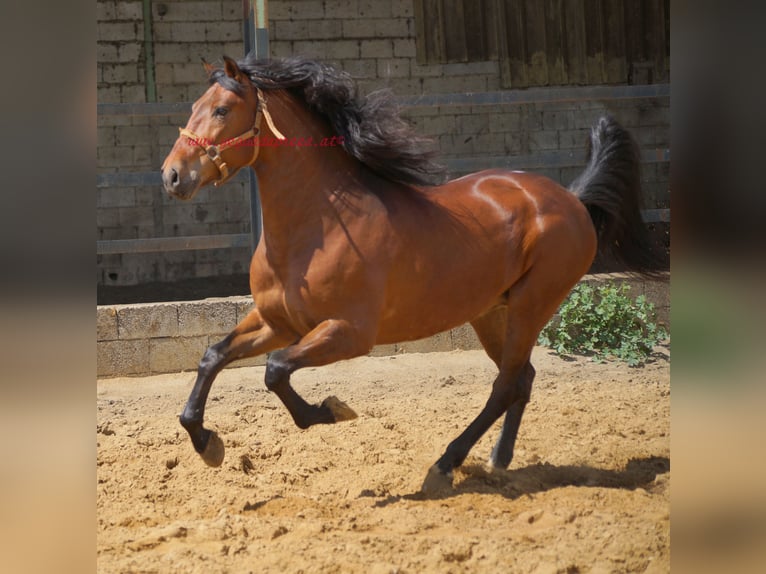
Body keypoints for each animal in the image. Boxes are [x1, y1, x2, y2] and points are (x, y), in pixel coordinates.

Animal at [161, 55, 661, 493]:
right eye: (193, 106)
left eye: (222, 110)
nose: (171, 176)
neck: (319, 224)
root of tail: (572, 199)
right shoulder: (277, 322)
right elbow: (212, 357)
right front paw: (208, 445)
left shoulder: (348, 333)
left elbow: (275, 370)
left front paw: (334, 410)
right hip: (491, 313)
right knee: (521, 379)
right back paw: (498, 460)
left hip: (531, 306)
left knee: (505, 384)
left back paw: (444, 465)